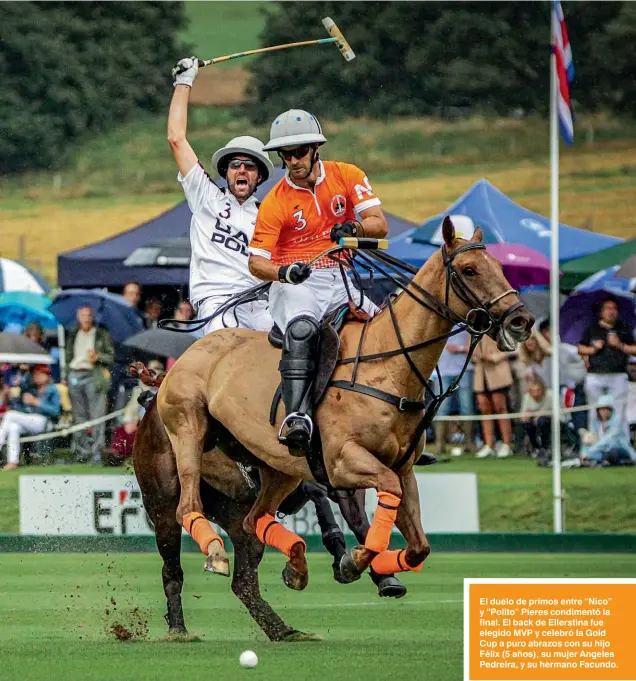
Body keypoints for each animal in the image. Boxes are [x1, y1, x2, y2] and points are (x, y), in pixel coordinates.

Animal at [154, 216, 532, 588]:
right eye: (469, 269)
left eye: (500, 266)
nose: (521, 321)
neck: (388, 365)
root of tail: (194, 346)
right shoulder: (342, 460)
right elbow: (384, 496)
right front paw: (357, 560)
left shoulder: (403, 468)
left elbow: (419, 547)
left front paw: (370, 565)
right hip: (189, 430)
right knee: (187, 506)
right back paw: (217, 553)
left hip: (278, 466)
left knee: (252, 519)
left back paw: (296, 564)